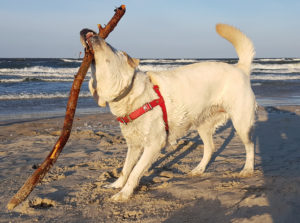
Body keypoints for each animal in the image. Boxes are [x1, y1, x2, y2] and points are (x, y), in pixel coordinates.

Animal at [81, 24, 256, 200]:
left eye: (109, 45)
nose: (86, 31)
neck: (131, 94)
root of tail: (239, 68)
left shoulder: (154, 145)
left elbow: (134, 172)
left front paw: (123, 194)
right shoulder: (134, 144)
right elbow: (125, 169)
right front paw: (116, 185)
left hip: (241, 122)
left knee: (250, 145)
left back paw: (247, 169)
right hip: (203, 125)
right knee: (210, 148)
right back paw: (198, 170)